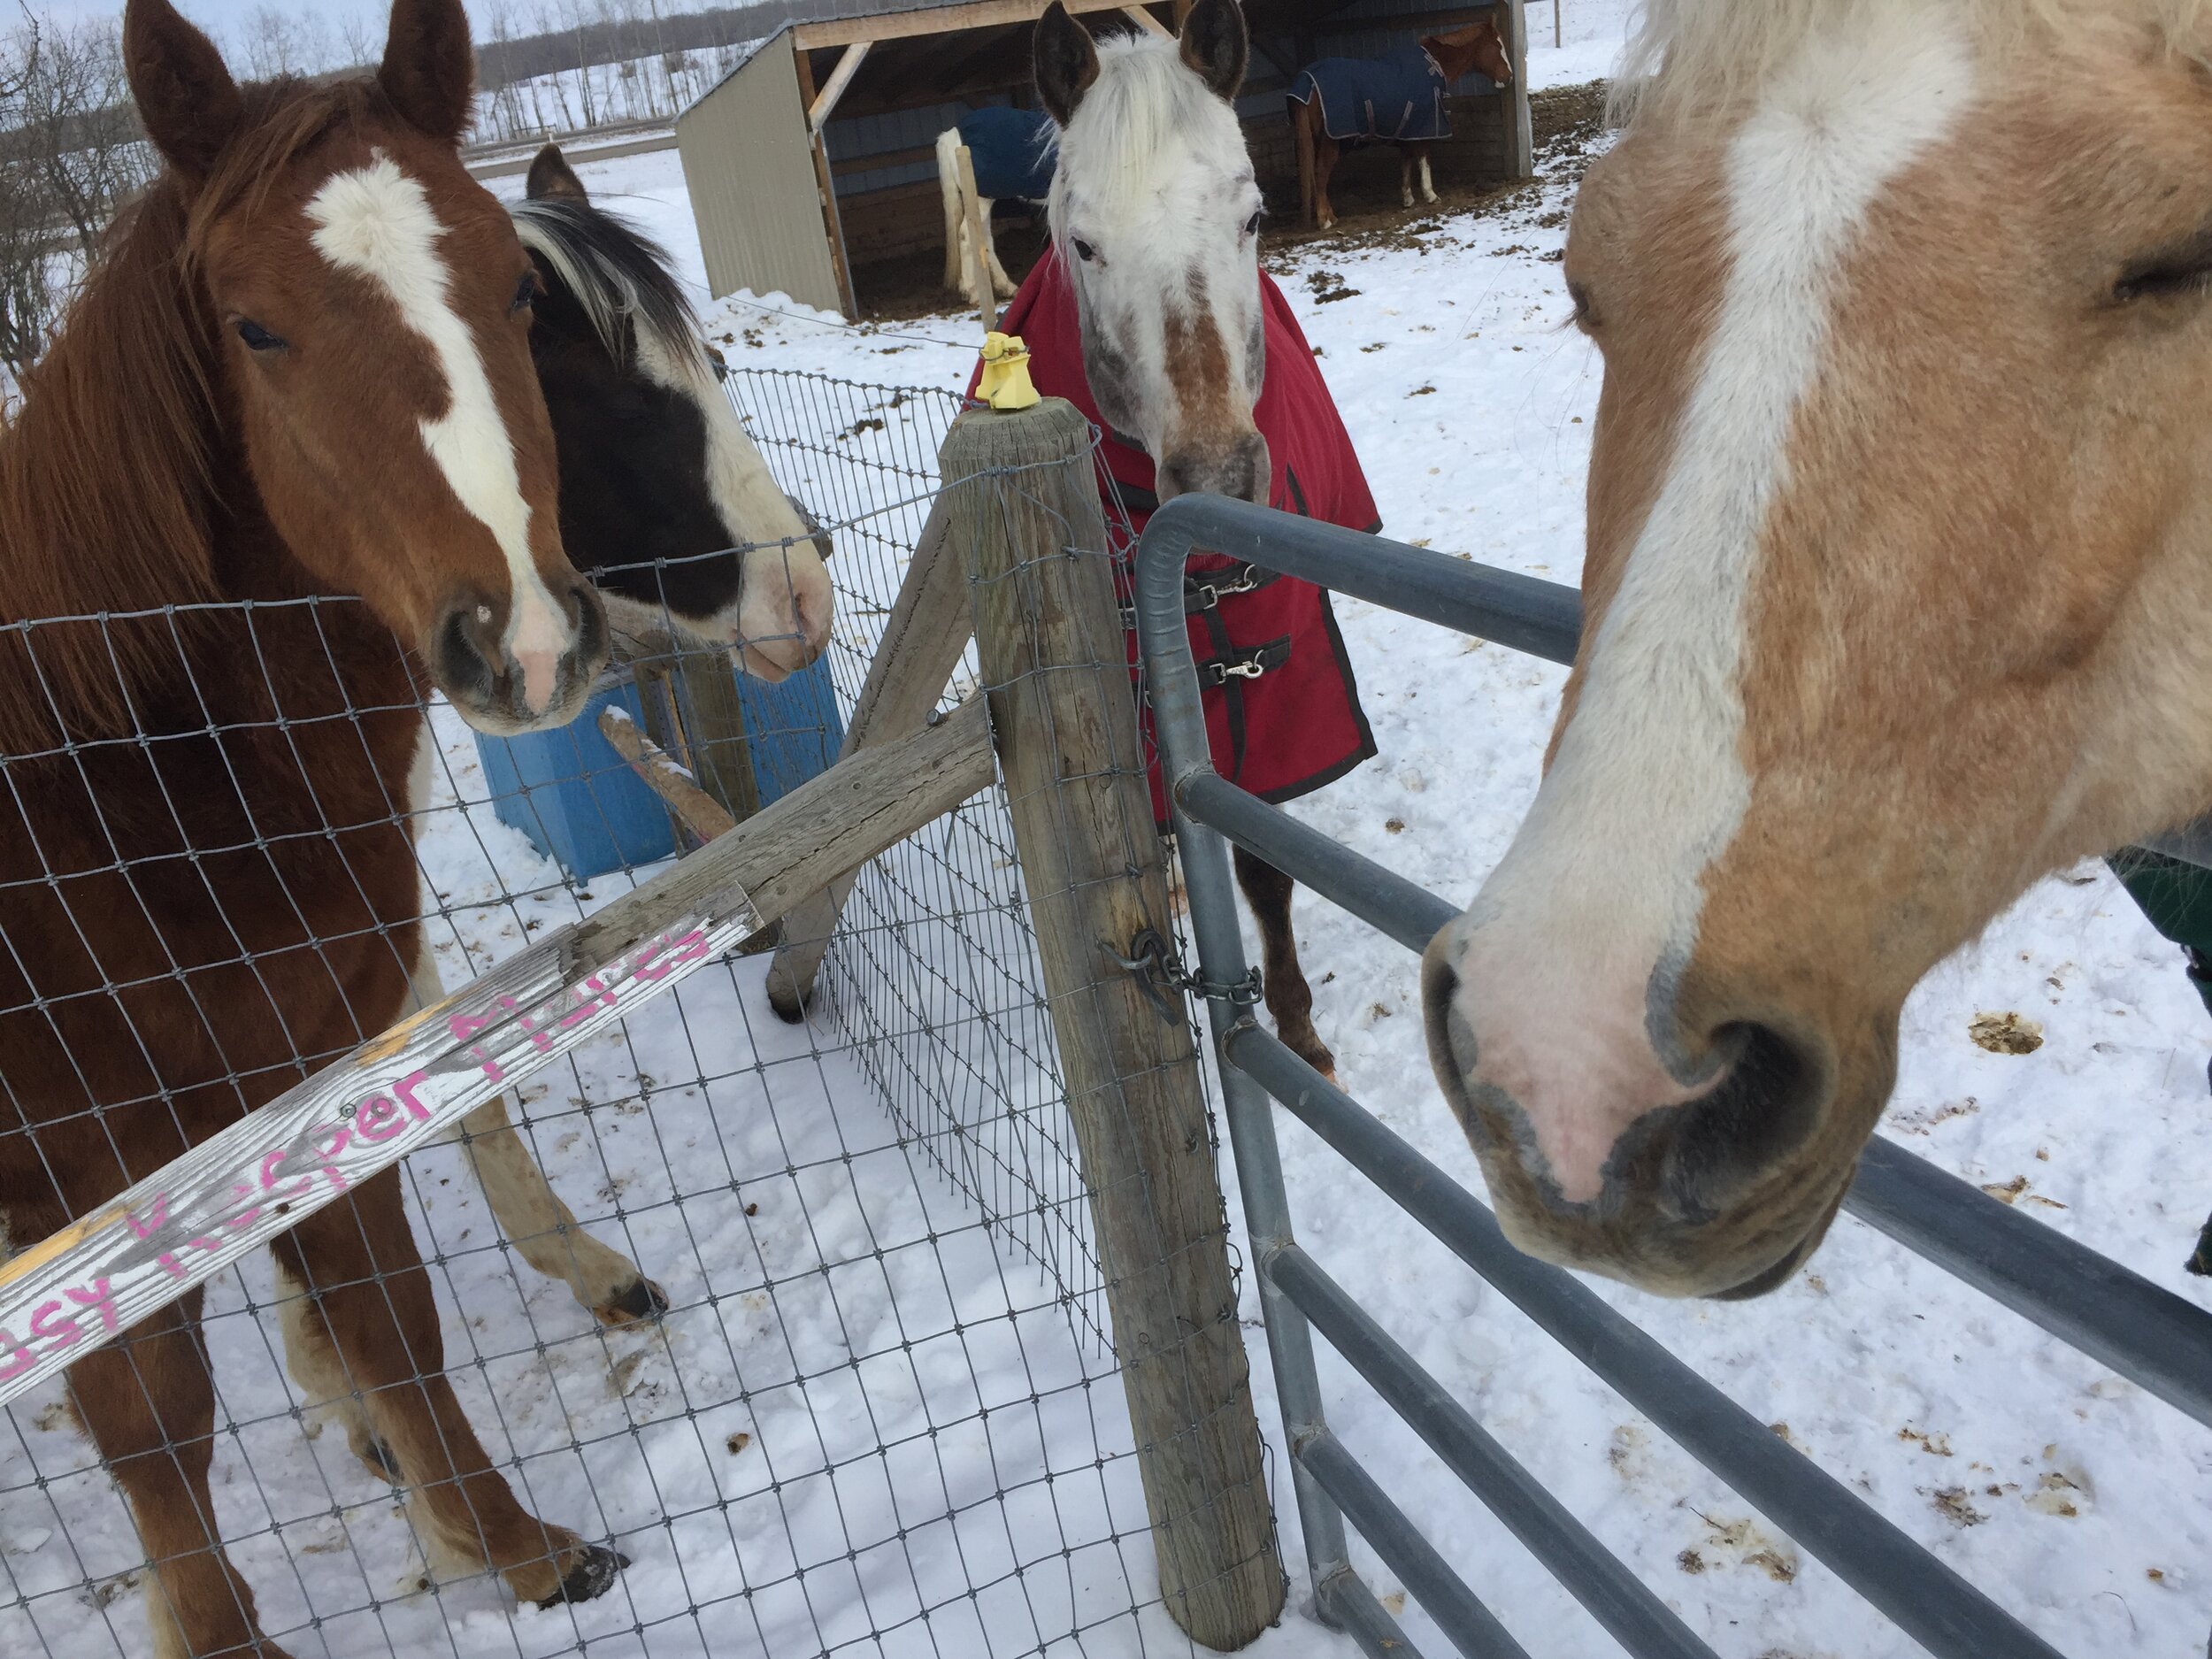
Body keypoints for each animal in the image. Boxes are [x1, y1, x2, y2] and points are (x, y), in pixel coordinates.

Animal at [0, 3, 629, 1650]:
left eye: (516, 284)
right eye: (256, 329)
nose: (528, 639)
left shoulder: (318, 1073)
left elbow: (382, 1303)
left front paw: (508, 1540)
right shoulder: (90, 1176)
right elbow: (155, 1416)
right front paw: (219, 1632)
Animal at [1031, 0, 1381, 1081]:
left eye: (1253, 217)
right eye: (1085, 245)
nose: (1221, 479)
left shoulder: (1279, 686)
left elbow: (1266, 866)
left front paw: (1296, 1028)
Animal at [1289, 17, 1515, 232]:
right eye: (1497, 46)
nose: (1509, 77)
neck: (1434, 65)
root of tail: (1307, 80)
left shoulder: (1408, 130)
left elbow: (1406, 161)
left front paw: (1408, 198)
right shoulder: (1424, 127)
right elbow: (1423, 158)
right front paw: (1430, 194)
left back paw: (1331, 216)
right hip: (1330, 140)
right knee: (1320, 173)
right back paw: (1324, 220)